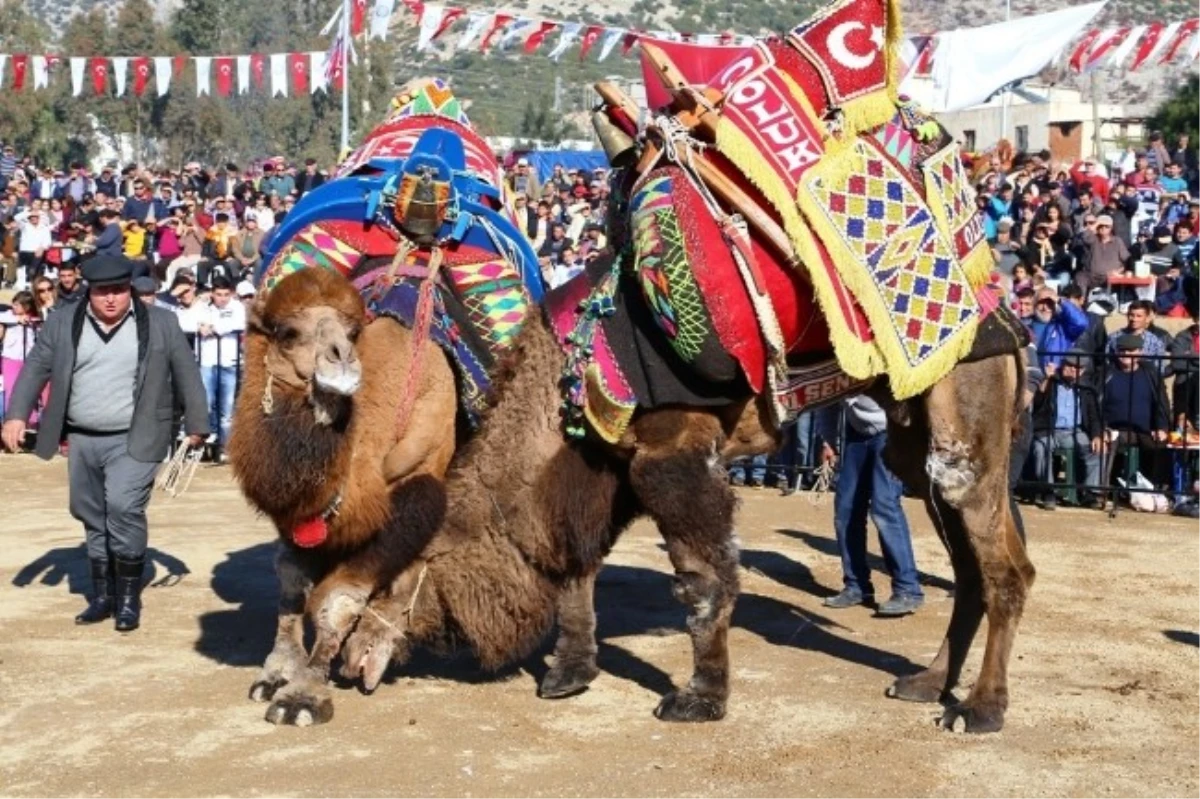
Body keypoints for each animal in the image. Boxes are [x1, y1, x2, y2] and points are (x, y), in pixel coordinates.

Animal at [228, 263, 458, 724]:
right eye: (287, 332)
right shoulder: (295, 518)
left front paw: (304, 696)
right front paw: (276, 673)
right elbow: (290, 582)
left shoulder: (413, 489)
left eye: (352, 333)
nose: (342, 358)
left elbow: (337, 600)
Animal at [328, 268, 1032, 734]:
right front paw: (569, 673)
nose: (347, 661)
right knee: (974, 569)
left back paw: (981, 709)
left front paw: (700, 698)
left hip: (965, 417)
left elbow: (703, 581)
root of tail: (1009, 312)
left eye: (386, 579)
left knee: (1006, 570)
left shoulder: (672, 455)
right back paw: (928, 684)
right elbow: (580, 567)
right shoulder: (604, 468)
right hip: (917, 450)